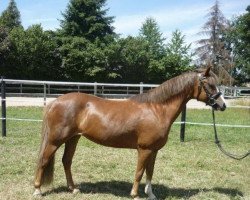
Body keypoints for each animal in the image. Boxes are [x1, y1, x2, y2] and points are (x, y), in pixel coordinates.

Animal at [33, 67, 227, 198]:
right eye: (210, 85)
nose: (222, 105)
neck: (157, 110)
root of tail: (55, 102)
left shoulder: (154, 150)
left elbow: (150, 172)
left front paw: (151, 194)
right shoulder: (144, 149)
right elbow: (139, 172)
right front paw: (134, 195)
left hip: (73, 138)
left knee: (66, 161)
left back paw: (73, 189)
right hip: (55, 140)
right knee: (43, 160)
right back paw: (37, 190)